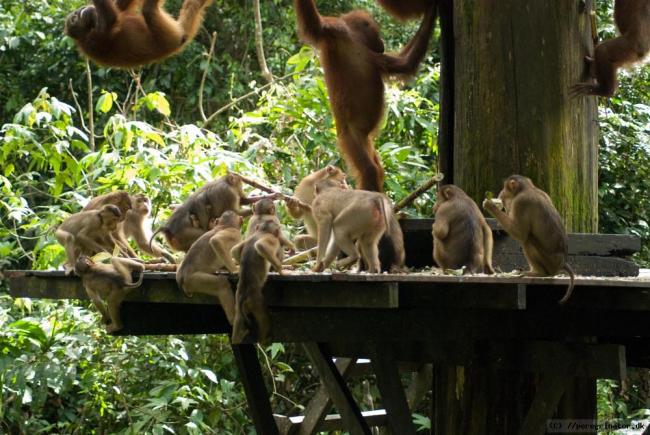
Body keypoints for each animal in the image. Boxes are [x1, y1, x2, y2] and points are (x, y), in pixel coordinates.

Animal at [63, 0, 211, 68]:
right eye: (74, 18)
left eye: (74, 15)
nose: (79, 11)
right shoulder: (95, 40)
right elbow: (111, 18)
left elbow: (120, 6)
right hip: (169, 36)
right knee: (149, 11)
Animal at [480, 175, 572, 304]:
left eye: (504, 188)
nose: (501, 193)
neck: (527, 188)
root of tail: (562, 262)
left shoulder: (520, 203)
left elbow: (519, 233)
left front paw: (490, 205)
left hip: (549, 262)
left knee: (527, 241)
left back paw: (539, 273)